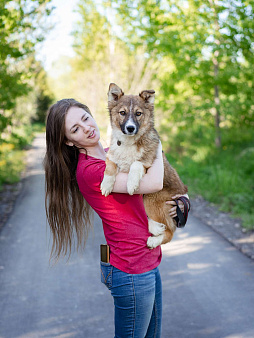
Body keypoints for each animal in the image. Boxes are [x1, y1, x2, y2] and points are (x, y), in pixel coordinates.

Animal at [100, 84, 188, 248]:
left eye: (138, 113)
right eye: (122, 113)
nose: (130, 128)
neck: (128, 142)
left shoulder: (148, 162)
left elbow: (136, 163)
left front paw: (131, 184)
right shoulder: (111, 156)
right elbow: (110, 166)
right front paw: (106, 184)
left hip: (152, 197)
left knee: (170, 232)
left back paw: (154, 239)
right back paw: (154, 227)